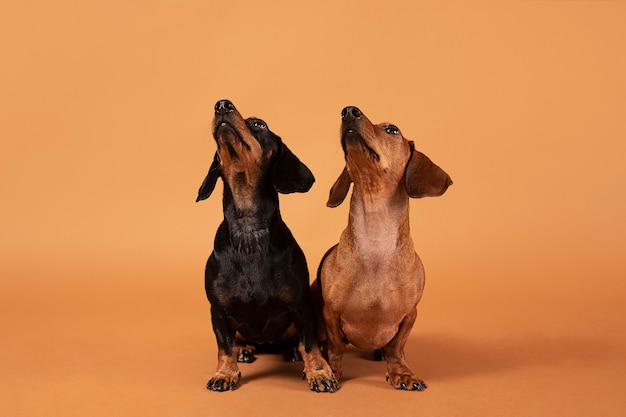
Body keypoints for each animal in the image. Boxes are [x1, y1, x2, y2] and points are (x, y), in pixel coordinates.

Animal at [197, 99, 338, 392]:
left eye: (259, 124)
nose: (222, 105)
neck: (249, 233)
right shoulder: (218, 311)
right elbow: (224, 346)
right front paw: (224, 373)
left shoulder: (301, 306)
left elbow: (310, 343)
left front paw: (319, 372)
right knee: (238, 341)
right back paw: (244, 349)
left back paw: (293, 350)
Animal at [310, 105, 448, 390]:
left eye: (392, 129)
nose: (349, 111)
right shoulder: (331, 314)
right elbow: (336, 347)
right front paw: (333, 370)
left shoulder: (409, 315)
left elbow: (397, 347)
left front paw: (402, 372)